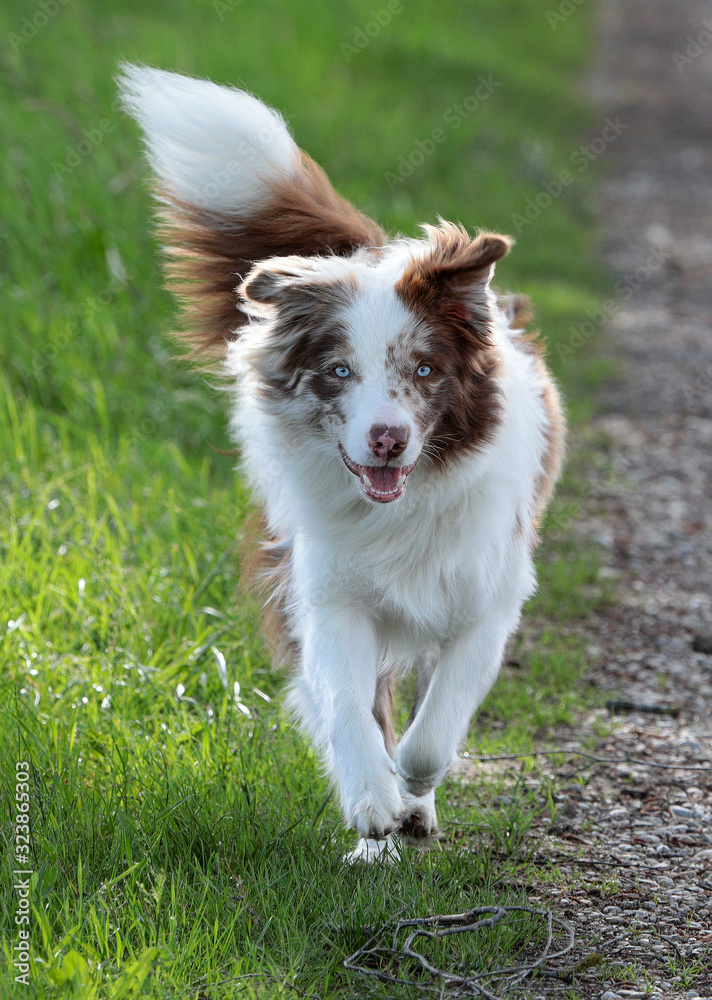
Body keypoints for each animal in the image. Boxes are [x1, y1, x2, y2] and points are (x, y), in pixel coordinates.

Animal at [118, 64, 560, 860]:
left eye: (424, 370)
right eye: (340, 372)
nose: (386, 439)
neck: (405, 505)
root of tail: (371, 257)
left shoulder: (488, 602)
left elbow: (433, 731)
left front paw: (411, 791)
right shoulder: (329, 594)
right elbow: (352, 709)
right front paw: (372, 804)